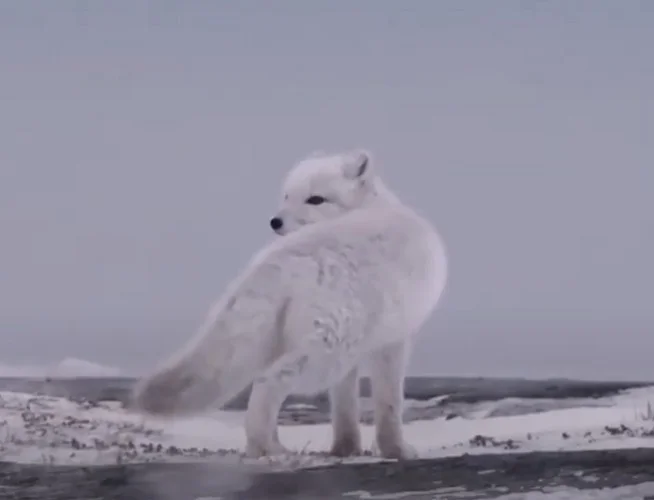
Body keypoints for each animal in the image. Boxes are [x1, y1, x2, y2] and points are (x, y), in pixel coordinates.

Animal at [131, 149, 448, 460]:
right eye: (287, 195)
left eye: (315, 198)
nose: (275, 221)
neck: (374, 206)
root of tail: (281, 261)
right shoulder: (393, 340)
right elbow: (389, 401)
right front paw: (397, 450)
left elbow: (344, 404)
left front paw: (346, 448)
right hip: (325, 348)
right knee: (268, 381)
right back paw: (264, 447)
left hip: (287, 339)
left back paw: (272, 444)